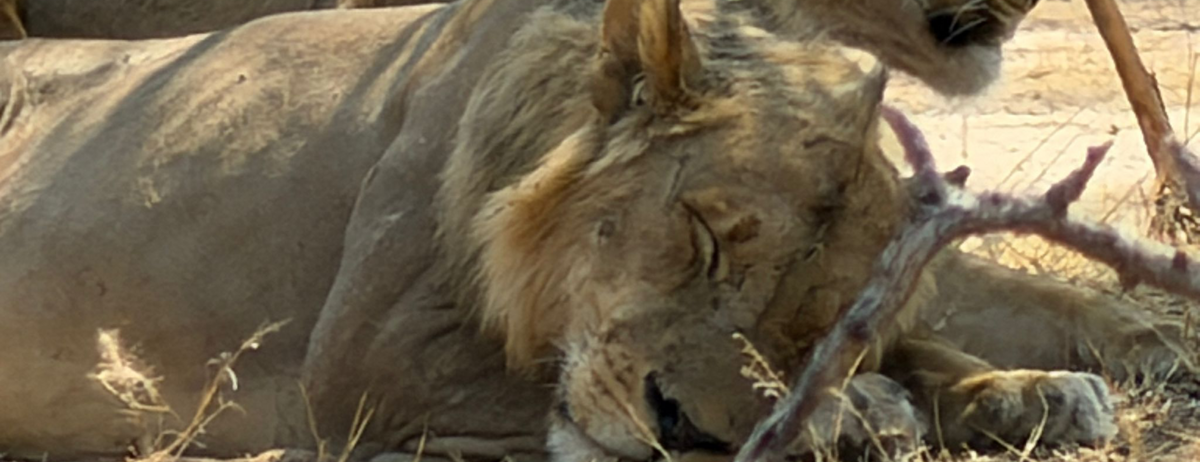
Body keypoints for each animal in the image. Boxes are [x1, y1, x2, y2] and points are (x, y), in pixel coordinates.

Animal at [0, 0, 1190, 461]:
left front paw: (1037, 388)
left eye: (826, 322)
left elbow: (987, 319)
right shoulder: (367, 357)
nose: (687, 428)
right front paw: (873, 413)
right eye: (703, 233)